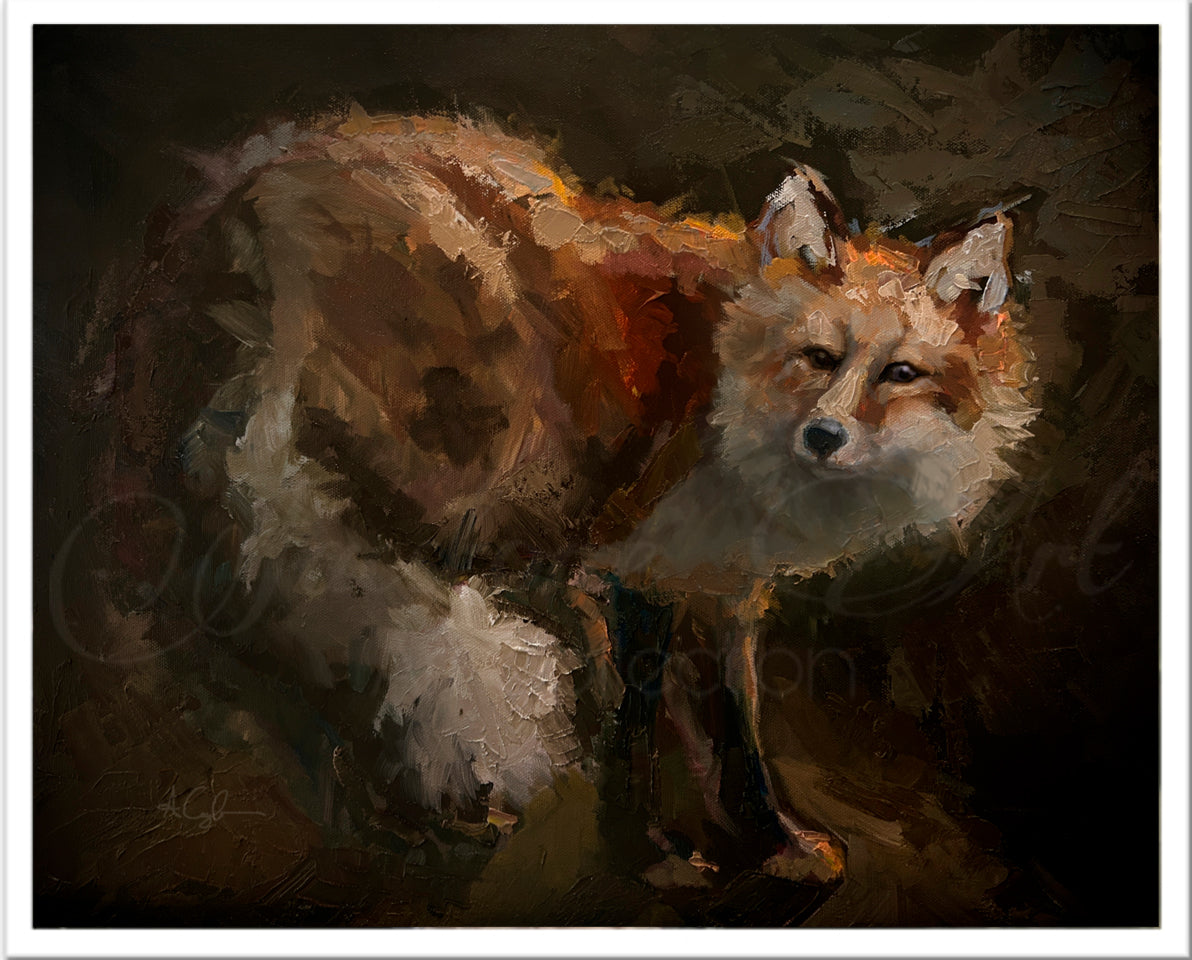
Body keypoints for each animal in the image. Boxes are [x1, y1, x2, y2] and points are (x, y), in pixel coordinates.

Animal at [102, 105, 1036, 905]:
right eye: (818, 356)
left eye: (900, 373)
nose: (824, 437)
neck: (726, 391)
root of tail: (255, 175)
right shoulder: (632, 563)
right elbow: (637, 720)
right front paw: (651, 855)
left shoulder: (713, 581)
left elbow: (728, 722)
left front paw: (771, 843)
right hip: (470, 456)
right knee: (361, 603)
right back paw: (416, 804)